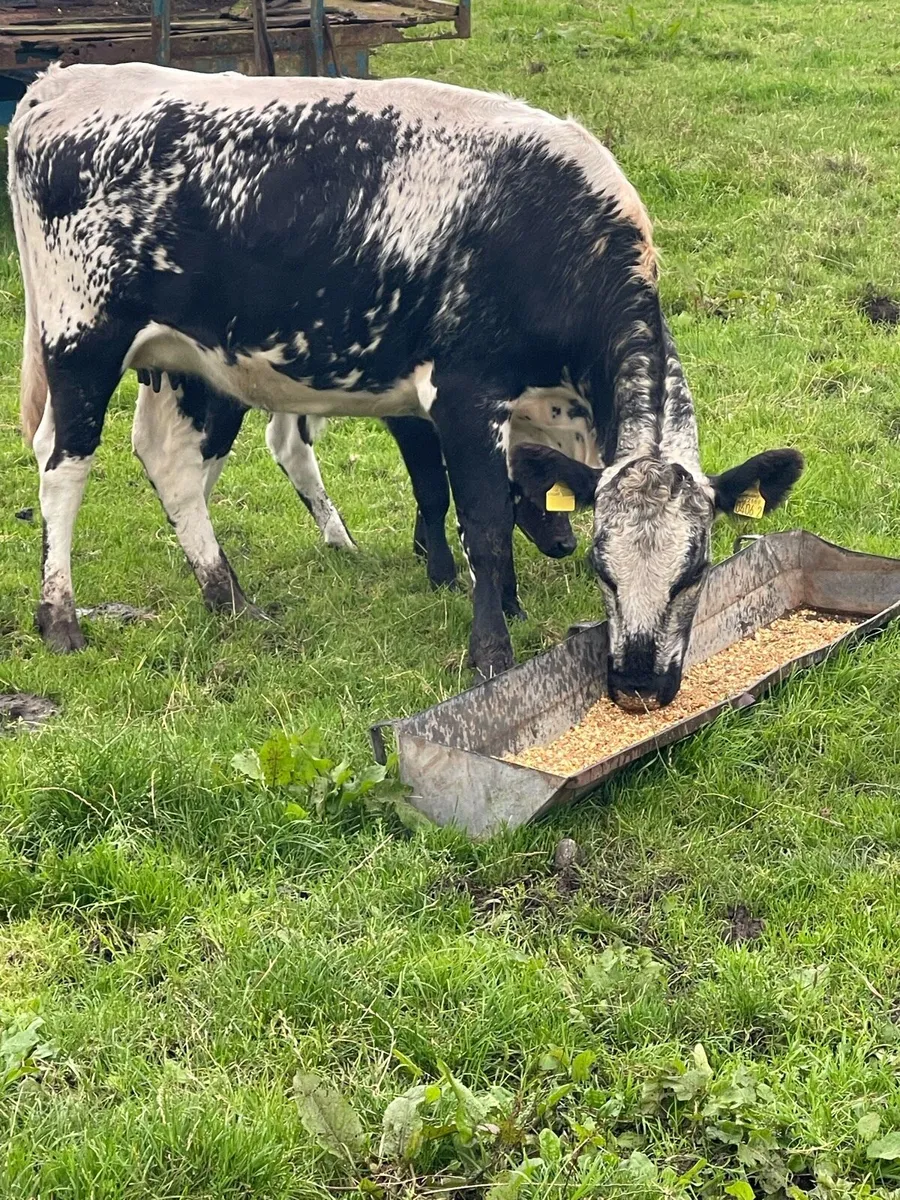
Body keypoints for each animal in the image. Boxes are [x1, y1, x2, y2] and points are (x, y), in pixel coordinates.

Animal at [10, 63, 803, 704]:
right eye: (604, 571)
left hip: (190, 364)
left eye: (695, 572)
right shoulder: (463, 393)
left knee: (171, 464)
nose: (638, 684)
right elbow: (483, 522)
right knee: (63, 467)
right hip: (81, 338)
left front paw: (510, 605)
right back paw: (60, 618)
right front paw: (492, 652)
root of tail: (62, 82)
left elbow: (500, 499)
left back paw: (227, 597)